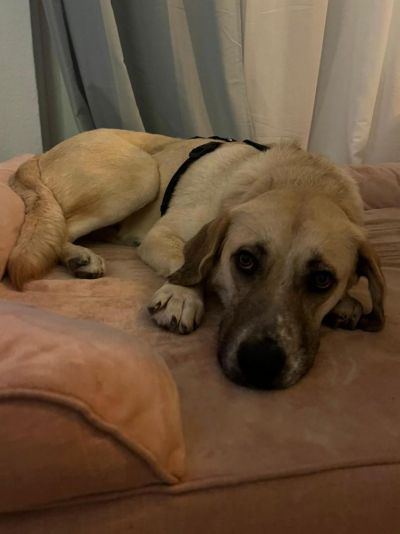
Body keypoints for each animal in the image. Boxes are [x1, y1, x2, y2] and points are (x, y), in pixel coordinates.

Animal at [7, 129, 385, 389]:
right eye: (245, 260)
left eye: (322, 280)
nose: (260, 364)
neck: (300, 180)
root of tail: (40, 156)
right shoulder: (164, 235)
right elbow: (190, 265)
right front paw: (181, 295)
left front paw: (346, 302)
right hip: (140, 174)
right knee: (61, 226)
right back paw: (80, 257)